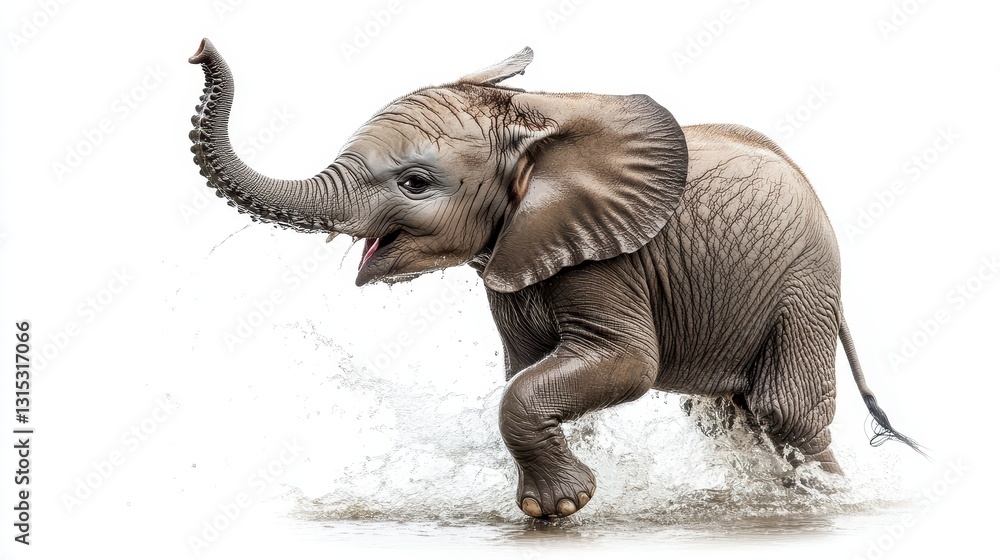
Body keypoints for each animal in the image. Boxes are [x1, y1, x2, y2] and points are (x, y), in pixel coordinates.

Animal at [188, 39, 922, 519]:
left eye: (415, 183)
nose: (199, 48)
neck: (530, 116)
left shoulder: (612, 257)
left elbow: (621, 365)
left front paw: (561, 507)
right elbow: (529, 369)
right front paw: (564, 498)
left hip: (805, 283)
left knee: (784, 411)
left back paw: (825, 501)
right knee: (727, 416)